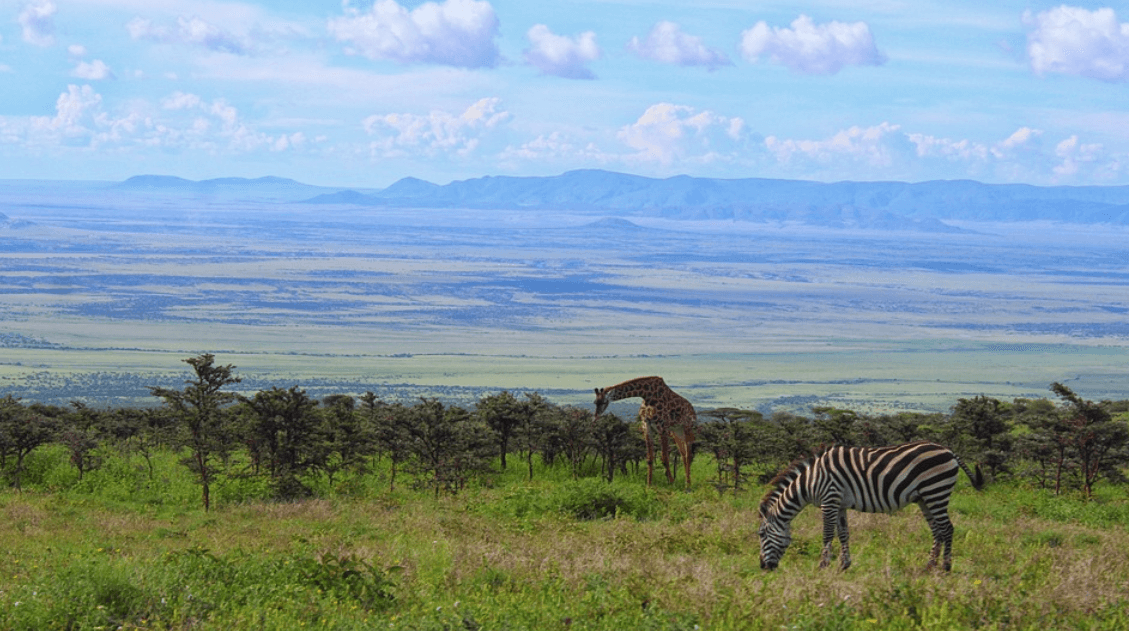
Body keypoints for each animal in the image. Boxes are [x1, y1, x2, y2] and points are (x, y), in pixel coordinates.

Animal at [754, 444, 984, 573]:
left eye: (762, 534)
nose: (763, 567)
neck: (810, 481)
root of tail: (949, 451)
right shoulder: (839, 504)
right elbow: (843, 534)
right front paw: (844, 565)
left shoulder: (829, 499)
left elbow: (827, 534)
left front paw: (822, 566)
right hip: (925, 498)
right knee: (937, 531)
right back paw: (929, 566)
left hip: (936, 491)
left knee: (947, 529)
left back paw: (946, 567)